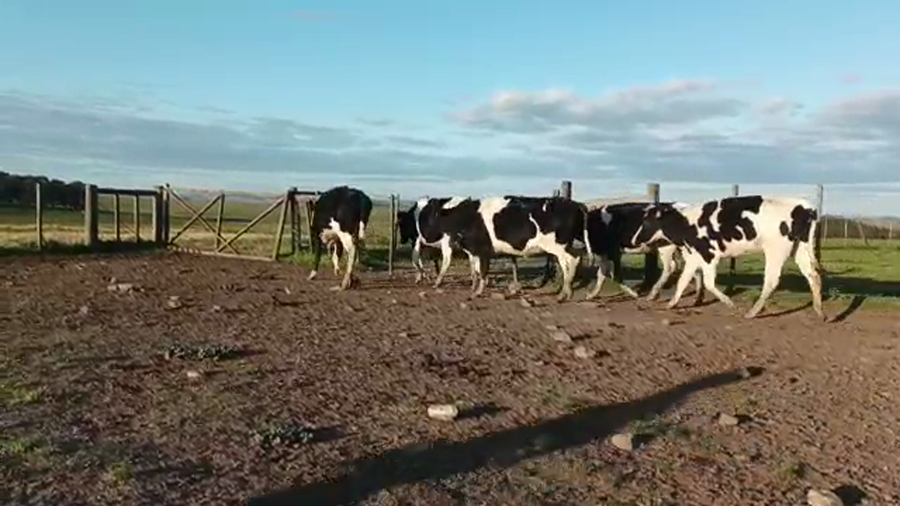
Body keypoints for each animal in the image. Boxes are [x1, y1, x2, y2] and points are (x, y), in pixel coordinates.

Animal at [634, 195, 824, 319]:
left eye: (647, 222)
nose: (636, 239)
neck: (685, 224)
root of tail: (806, 207)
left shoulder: (709, 255)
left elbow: (709, 283)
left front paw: (730, 304)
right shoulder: (693, 256)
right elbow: (682, 281)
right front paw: (671, 304)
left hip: (776, 250)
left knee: (771, 281)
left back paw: (752, 312)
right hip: (800, 249)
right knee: (813, 276)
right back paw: (819, 311)